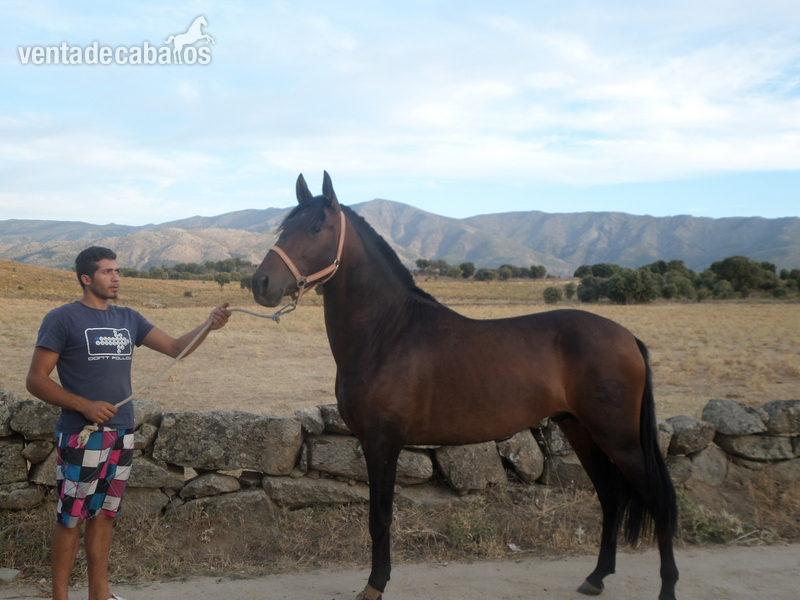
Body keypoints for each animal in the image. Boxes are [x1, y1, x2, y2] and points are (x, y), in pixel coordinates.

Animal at [252, 172, 679, 600]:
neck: (387, 332)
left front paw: (375, 585)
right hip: (581, 430)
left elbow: (380, 516)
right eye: (283, 227)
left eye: (315, 227)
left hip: (619, 439)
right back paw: (596, 577)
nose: (260, 282)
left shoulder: (382, 442)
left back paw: (666, 587)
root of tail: (628, 338)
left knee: (659, 500)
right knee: (611, 498)